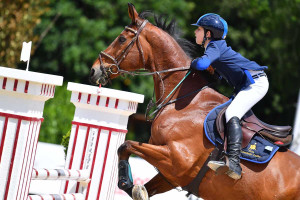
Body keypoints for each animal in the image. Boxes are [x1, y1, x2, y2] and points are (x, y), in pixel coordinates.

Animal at [89, 3, 300, 200]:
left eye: (122, 39)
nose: (94, 70)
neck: (185, 101)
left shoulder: (176, 160)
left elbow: (125, 145)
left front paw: (125, 182)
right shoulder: (172, 176)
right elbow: (143, 185)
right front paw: (133, 187)